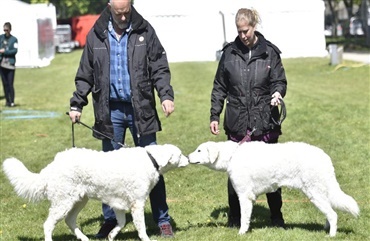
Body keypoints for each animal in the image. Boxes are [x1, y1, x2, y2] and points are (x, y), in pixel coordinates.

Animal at [2, 144, 188, 241]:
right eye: (180, 154)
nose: (188, 159)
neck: (151, 159)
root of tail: (53, 164)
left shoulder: (119, 204)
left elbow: (120, 223)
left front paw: (111, 235)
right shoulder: (137, 204)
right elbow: (141, 228)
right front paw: (146, 239)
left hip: (78, 200)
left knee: (70, 221)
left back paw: (84, 238)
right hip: (63, 203)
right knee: (48, 225)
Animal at [188, 140, 358, 236]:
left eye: (199, 150)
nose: (188, 157)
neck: (232, 156)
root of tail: (325, 156)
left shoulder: (244, 196)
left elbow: (244, 219)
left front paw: (241, 233)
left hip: (314, 193)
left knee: (333, 215)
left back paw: (331, 235)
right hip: (319, 193)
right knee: (330, 213)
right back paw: (326, 229)